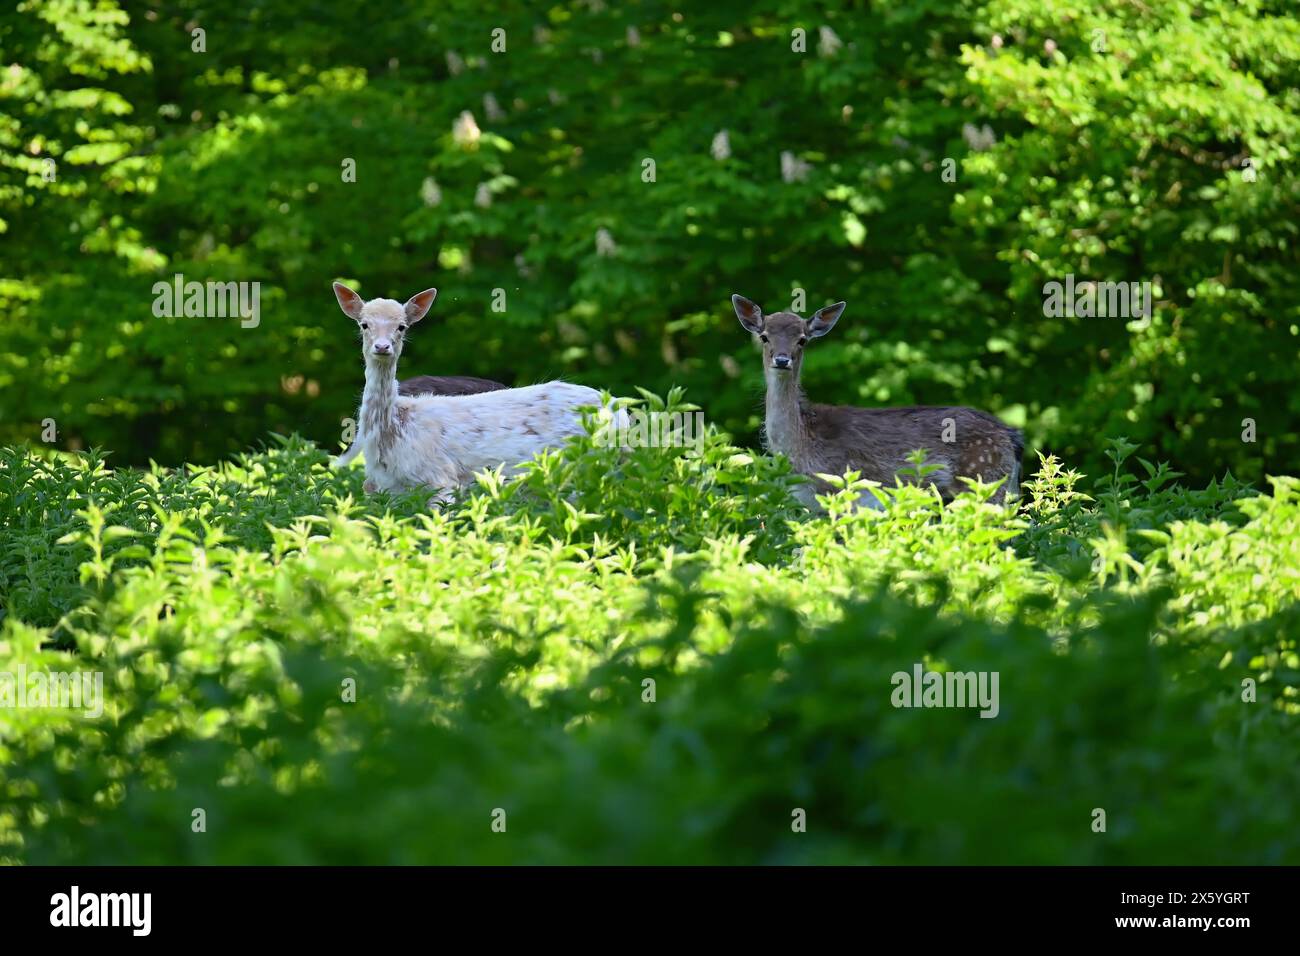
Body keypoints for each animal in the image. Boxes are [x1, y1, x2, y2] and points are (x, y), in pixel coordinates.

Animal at [733, 295, 1024, 512]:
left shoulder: (844, 487)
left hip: (983, 480)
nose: (782, 360)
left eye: (802, 339)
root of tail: (1011, 436)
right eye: (764, 336)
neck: (800, 446)